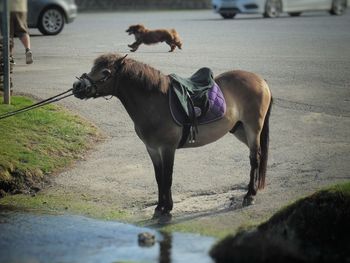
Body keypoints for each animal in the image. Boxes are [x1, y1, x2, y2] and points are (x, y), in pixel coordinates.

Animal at [72, 53, 272, 219]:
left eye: (105, 72)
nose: (77, 86)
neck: (154, 103)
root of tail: (260, 80)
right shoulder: (152, 149)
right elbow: (159, 177)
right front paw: (159, 207)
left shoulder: (168, 148)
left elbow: (167, 176)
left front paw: (167, 208)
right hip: (239, 130)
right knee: (256, 156)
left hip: (252, 129)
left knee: (255, 158)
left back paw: (250, 194)